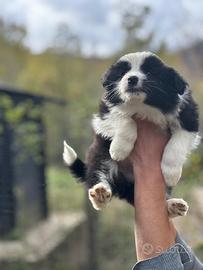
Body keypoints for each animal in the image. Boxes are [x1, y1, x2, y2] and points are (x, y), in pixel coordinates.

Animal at [62, 51, 199, 218]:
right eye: (122, 74)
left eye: (149, 72)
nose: (131, 78)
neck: (143, 106)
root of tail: (123, 184)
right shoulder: (104, 113)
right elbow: (126, 119)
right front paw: (119, 149)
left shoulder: (189, 119)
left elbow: (177, 144)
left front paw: (171, 173)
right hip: (99, 154)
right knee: (97, 173)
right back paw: (99, 194)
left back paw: (172, 206)